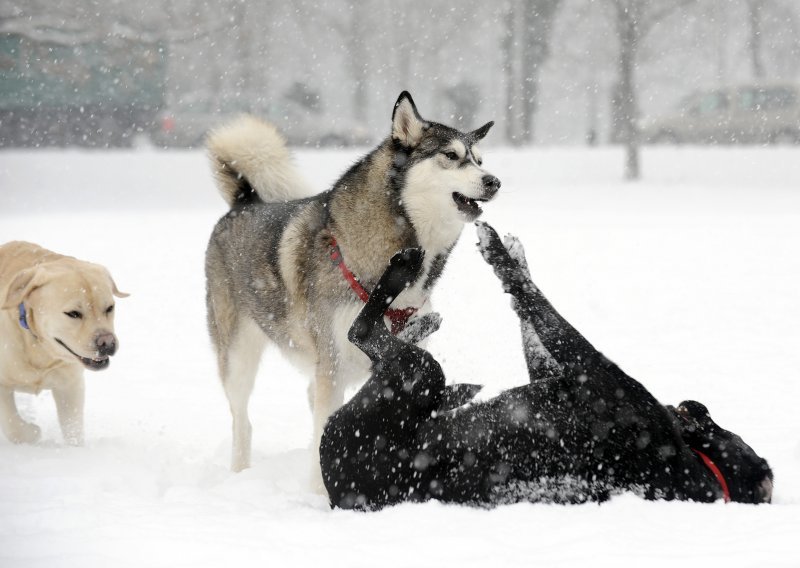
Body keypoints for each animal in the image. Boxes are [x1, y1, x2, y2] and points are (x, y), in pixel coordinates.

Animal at [203, 93, 496, 474]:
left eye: (479, 160)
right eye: (450, 155)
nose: (493, 181)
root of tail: (243, 200)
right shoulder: (335, 362)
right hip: (238, 355)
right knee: (243, 421)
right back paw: (241, 471)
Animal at [318, 222, 768, 510]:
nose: (693, 404)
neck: (701, 469)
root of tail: (341, 494)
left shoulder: (603, 379)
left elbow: (533, 301)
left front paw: (500, 255)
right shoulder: (559, 374)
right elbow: (531, 320)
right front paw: (516, 254)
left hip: (419, 375)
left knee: (364, 333)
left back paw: (403, 275)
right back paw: (421, 324)